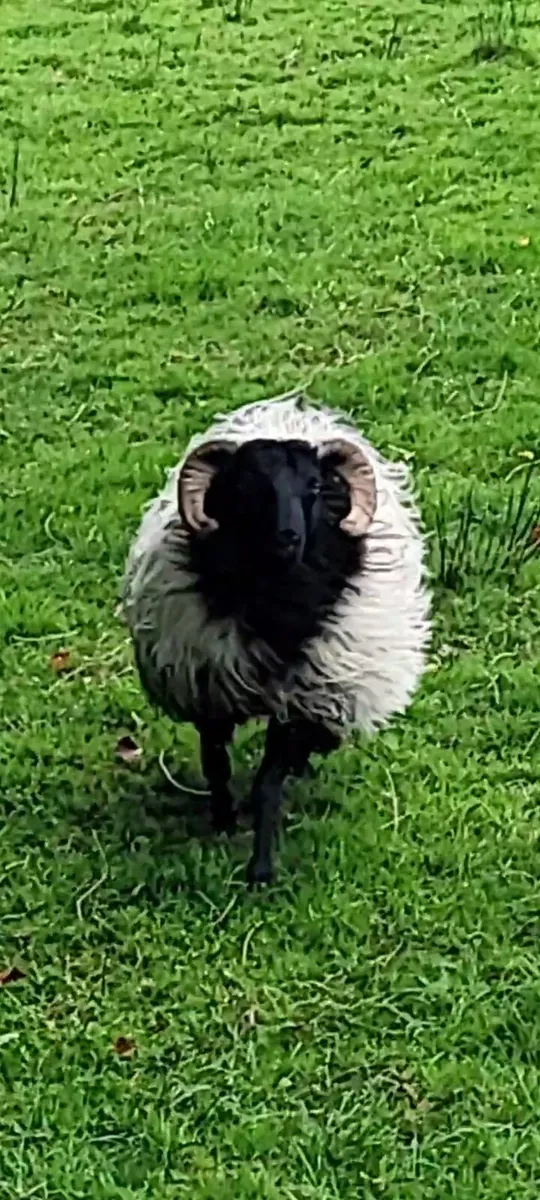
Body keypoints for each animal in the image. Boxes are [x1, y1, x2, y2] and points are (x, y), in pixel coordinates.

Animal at [122, 390, 430, 885]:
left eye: (316, 488)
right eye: (245, 488)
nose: (288, 537)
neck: (273, 599)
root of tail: (288, 414)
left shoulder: (302, 700)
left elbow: (268, 783)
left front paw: (260, 870)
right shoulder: (210, 687)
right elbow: (216, 763)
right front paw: (224, 823)